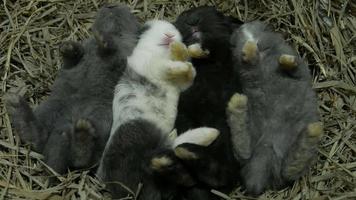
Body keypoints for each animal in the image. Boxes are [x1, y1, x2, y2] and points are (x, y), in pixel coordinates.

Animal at [4, 4, 140, 175]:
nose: (111, 5)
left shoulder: (125, 55)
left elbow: (114, 53)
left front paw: (102, 39)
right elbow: (73, 58)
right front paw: (67, 46)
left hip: (101, 122)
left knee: (80, 159)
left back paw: (83, 130)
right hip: (50, 108)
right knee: (37, 136)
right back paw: (14, 103)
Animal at [97, 19, 220, 199]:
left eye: (175, 28)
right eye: (148, 27)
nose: (169, 36)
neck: (161, 53)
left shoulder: (181, 84)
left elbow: (189, 73)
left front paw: (182, 53)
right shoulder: (149, 65)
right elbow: (167, 67)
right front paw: (180, 55)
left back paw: (208, 134)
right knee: (168, 149)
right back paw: (208, 133)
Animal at [228, 20, 322, 195]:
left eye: (264, 29)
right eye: (235, 43)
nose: (248, 38)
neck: (263, 58)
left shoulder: (301, 73)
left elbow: (295, 68)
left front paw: (286, 60)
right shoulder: (248, 73)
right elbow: (249, 65)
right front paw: (248, 50)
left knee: (288, 170)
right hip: (254, 131)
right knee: (245, 152)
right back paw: (237, 103)